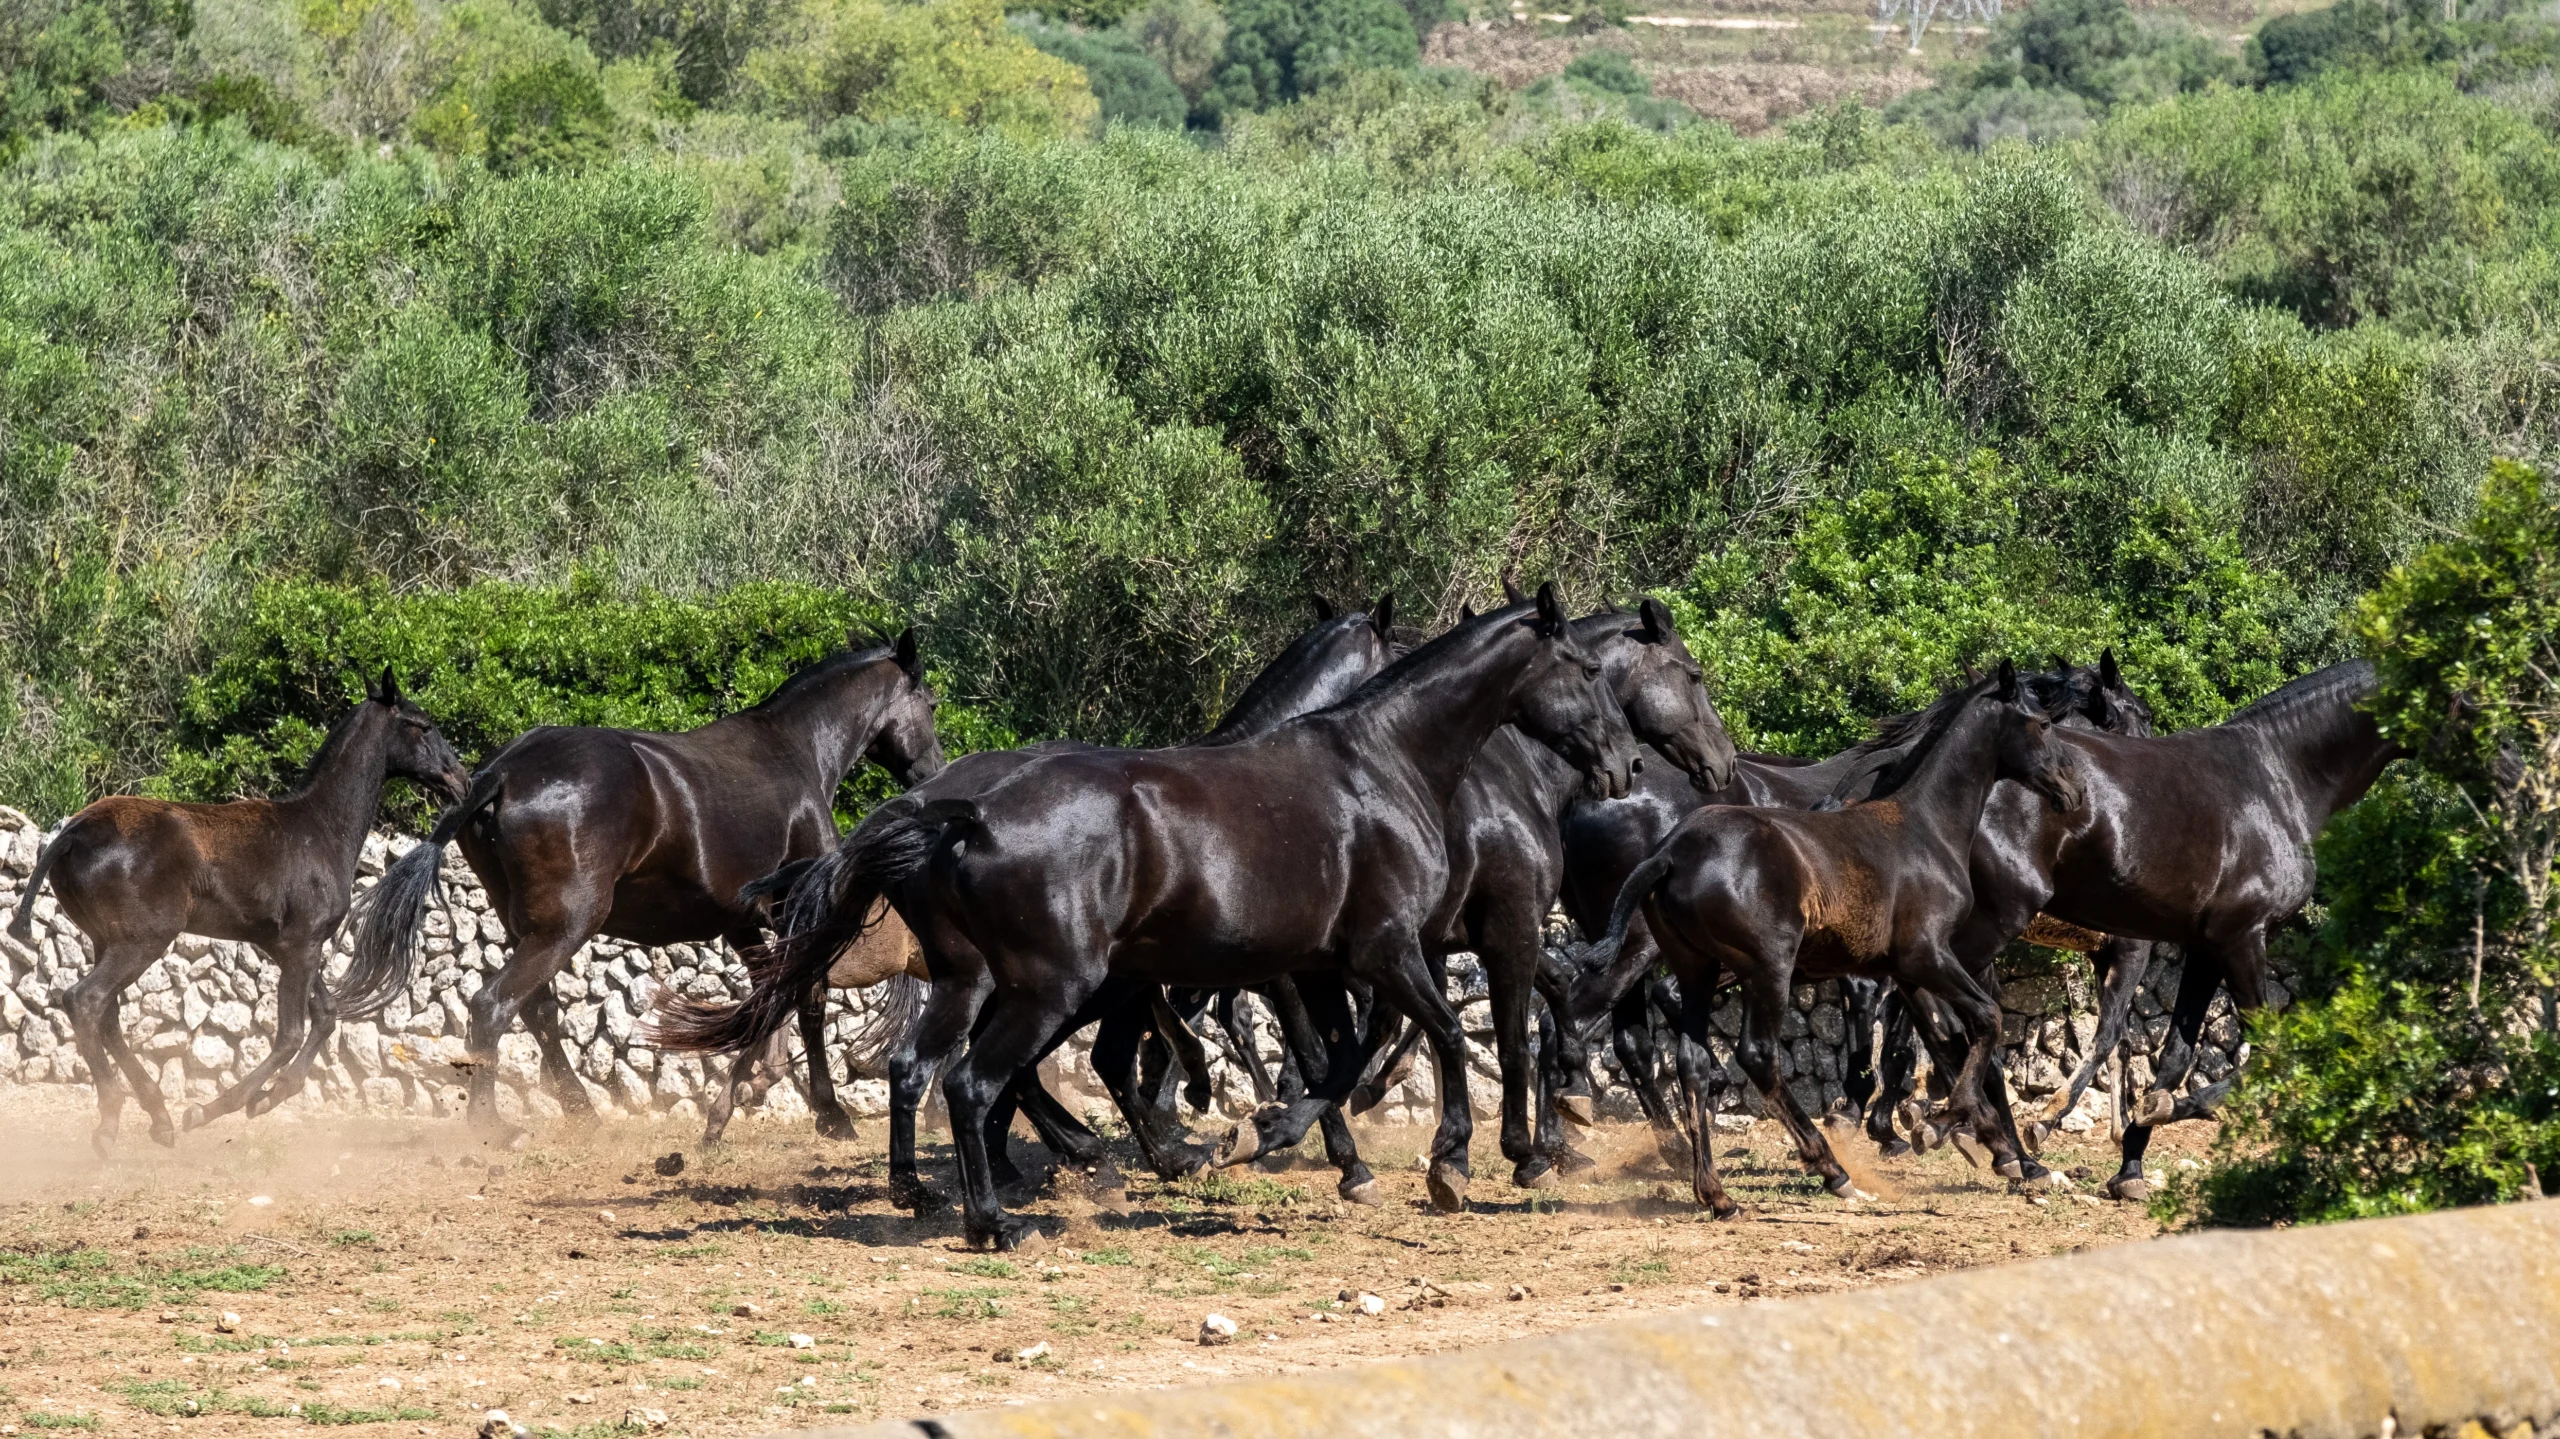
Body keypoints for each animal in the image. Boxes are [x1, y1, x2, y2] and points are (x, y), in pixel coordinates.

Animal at [8, 670, 467, 1155]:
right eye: (424, 726)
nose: (462, 782)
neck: (319, 828)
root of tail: (73, 832)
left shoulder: (290, 946)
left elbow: (325, 1016)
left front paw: (268, 1097)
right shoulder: (302, 945)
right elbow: (290, 1034)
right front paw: (214, 1108)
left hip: (107, 940)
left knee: (108, 1014)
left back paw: (159, 1117)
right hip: (143, 940)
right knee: (86, 1000)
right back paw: (114, 1120)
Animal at [335, 633, 943, 1141]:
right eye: (932, 705)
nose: (933, 772)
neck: (795, 754)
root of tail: (501, 773)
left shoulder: (741, 923)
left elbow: (769, 995)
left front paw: (754, 1086)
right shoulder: (802, 912)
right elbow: (807, 999)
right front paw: (829, 1113)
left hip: (526, 926)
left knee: (538, 1013)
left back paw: (581, 1111)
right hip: (567, 925)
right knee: (493, 1006)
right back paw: (492, 1127)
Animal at [672, 585, 1635, 1250]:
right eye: (1585, 671)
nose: (1623, 764)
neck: (1381, 764)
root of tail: (961, 815)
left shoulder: (1329, 963)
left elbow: (1342, 1055)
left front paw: (1264, 1136)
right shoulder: (1382, 951)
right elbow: (1437, 1034)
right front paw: (1452, 1161)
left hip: (975, 979)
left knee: (922, 1069)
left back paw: (945, 1187)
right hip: (1051, 985)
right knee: (974, 1081)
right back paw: (1001, 1216)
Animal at [1570, 662, 2083, 1216]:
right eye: (2043, 723)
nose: (2074, 791)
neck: (1924, 829)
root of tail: (1670, 854)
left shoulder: (1904, 972)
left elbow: (1943, 1039)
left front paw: (1981, 1141)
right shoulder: (1927, 955)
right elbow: (1985, 1021)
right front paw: (1948, 1127)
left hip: (1696, 969)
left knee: (1692, 1061)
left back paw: (1715, 1192)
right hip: (1768, 968)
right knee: (1756, 1055)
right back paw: (1831, 1170)